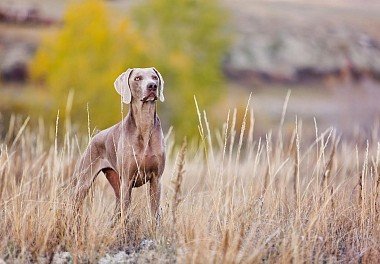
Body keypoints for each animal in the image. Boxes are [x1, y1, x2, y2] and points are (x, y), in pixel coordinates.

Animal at [72, 67, 165, 220]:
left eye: (154, 77)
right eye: (137, 78)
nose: (152, 86)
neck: (144, 125)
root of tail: (95, 136)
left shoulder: (156, 179)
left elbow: (154, 214)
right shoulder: (127, 180)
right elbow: (125, 215)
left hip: (115, 183)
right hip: (84, 181)